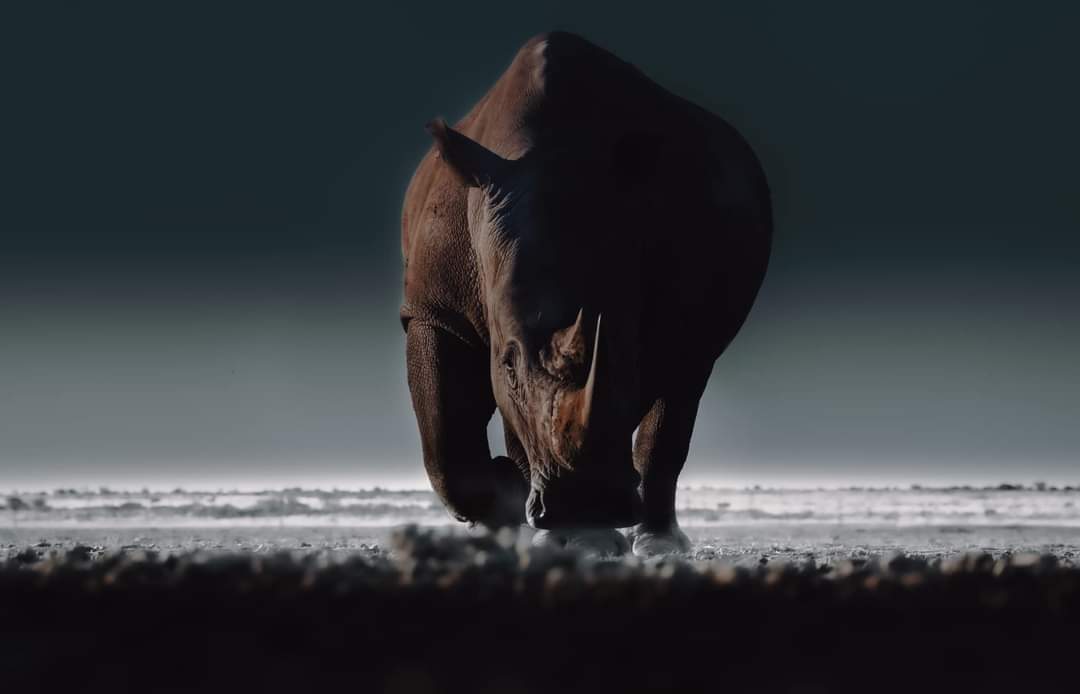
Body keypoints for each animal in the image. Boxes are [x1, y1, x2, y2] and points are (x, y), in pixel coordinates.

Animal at [400, 32, 772, 556]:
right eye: (507, 362)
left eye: (628, 353)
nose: (588, 502)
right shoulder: (435, 307)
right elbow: (445, 435)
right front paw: (508, 501)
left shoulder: (680, 317)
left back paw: (646, 542)